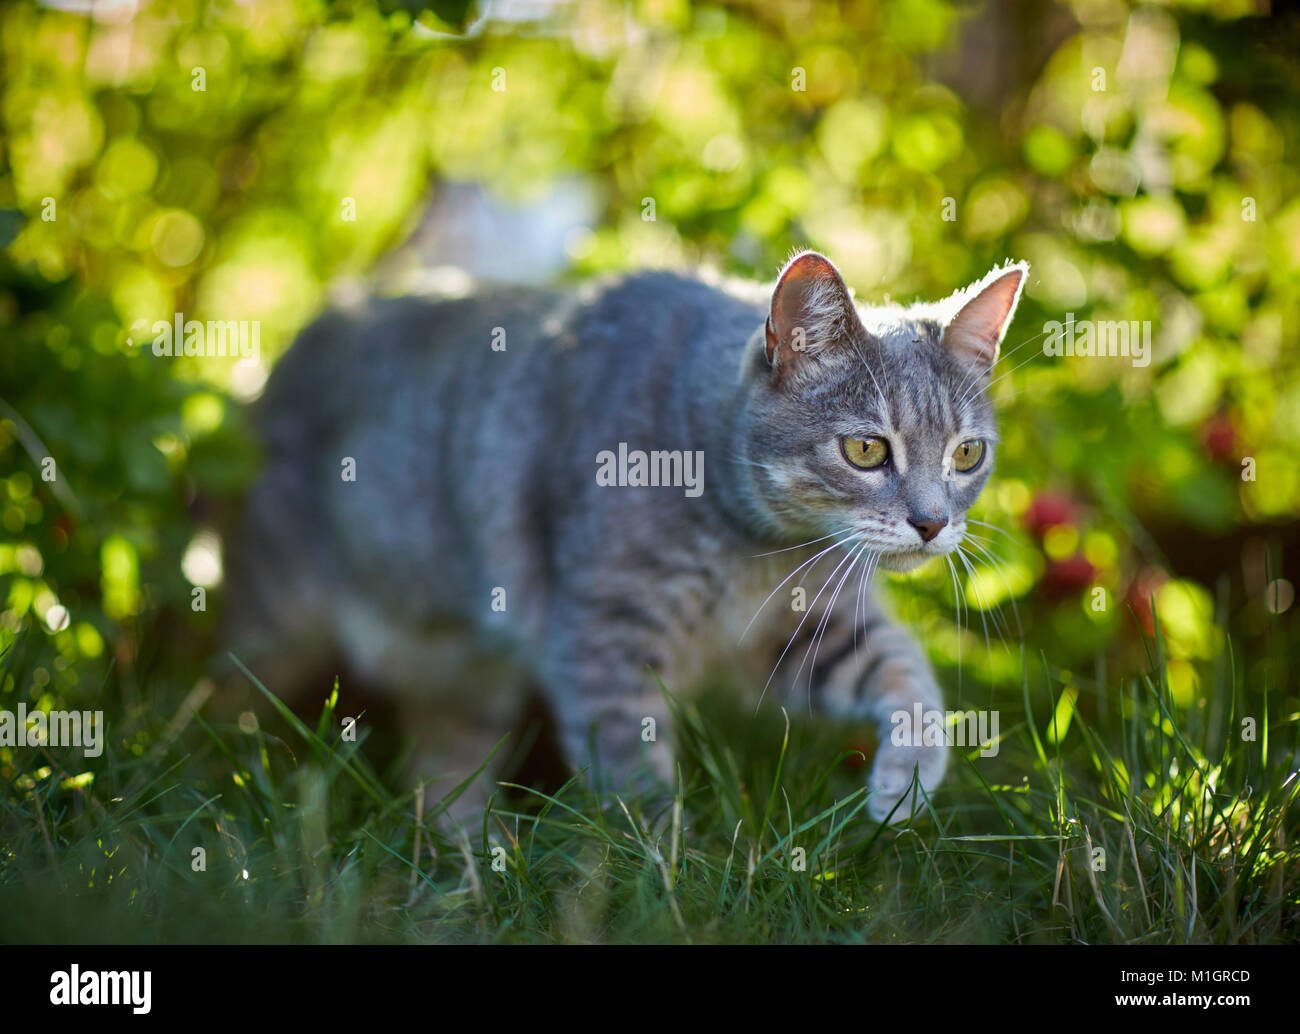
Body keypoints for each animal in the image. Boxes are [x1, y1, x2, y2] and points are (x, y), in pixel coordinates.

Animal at [228, 252, 1029, 827]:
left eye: (966, 455)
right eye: (866, 450)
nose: (932, 522)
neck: (761, 555)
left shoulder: (805, 631)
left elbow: (908, 674)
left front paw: (908, 781)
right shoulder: (604, 636)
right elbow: (633, 780)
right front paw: (665, 881)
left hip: (466, 685)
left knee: (446, 766)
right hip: (275, 621)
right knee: (228, 692)